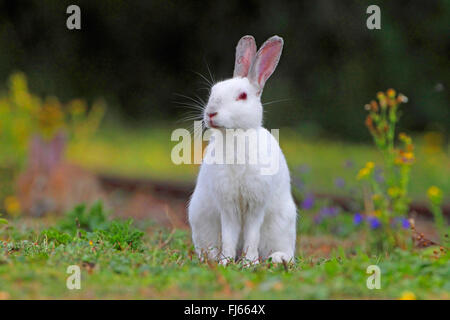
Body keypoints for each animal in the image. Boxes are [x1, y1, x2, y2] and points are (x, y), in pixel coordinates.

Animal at [187, 35, 298, 264]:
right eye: (213, 91)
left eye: (243, 96)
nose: (210, 113)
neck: (235, 136)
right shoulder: (227, 205)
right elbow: (229, 235)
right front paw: (226, 261)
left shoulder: (256, 204)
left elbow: (252, 235)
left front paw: (249, 262)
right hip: (200, 218)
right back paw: (212, 257)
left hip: (283, 223)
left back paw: (278, 258)